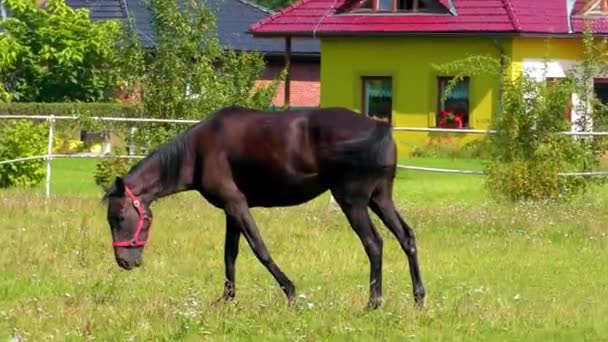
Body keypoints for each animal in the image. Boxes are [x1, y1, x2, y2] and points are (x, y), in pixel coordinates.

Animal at [102, 105, 426, 310]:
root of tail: (381, 127)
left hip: (354, 203)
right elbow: (230, 255)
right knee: (407, 238)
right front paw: (226, 299)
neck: (197, 151)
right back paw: (419, 299)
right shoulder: (230, 211)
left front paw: (291, 294)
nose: (124, 261)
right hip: (380, 199)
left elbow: (260, 250)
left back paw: (373, 303)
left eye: (118, 217)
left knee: (374, 244)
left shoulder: (236, 205)